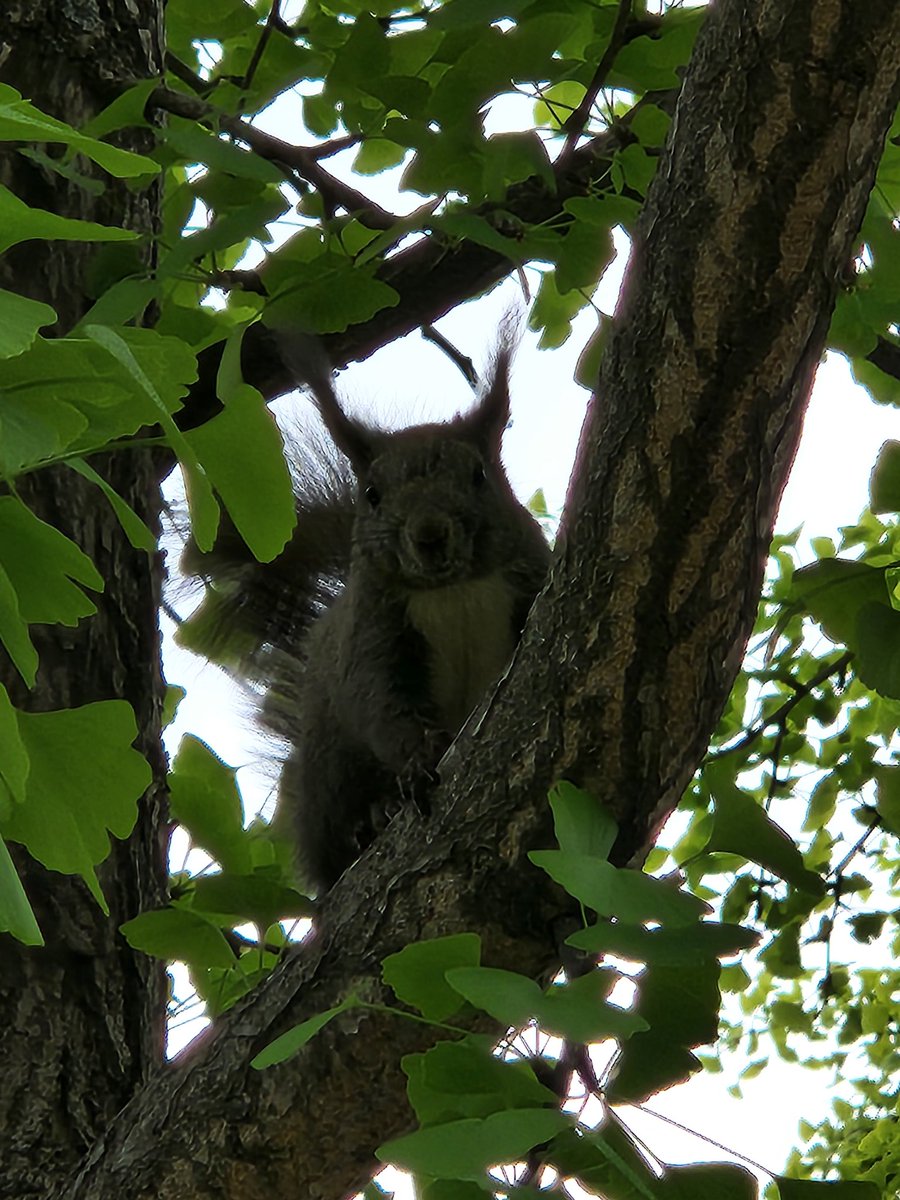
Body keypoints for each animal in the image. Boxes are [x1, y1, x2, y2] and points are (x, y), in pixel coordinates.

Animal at [181, 333, 554, 897]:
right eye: (372, 495)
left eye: (478, 475)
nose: (429, 534)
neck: (450, 590)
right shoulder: (374, 635)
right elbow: (382, 704)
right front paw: (419, 761)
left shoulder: (531, 579)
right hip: (329, 776)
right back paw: (376, 818)